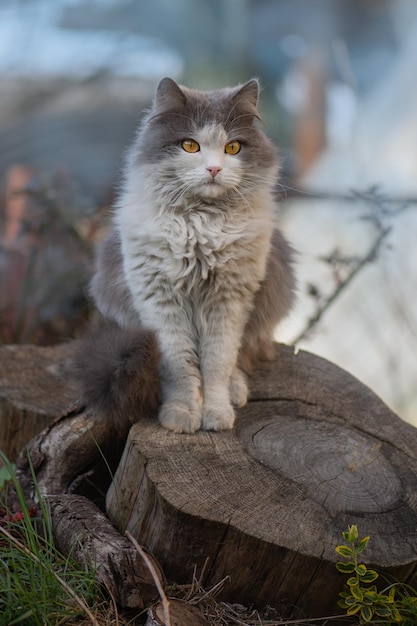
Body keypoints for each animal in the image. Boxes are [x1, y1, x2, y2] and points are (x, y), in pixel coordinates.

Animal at [75, 77, 296, 434]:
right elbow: (180, 365)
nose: (214, 169)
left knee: (241, 357)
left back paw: (236, 390)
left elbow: (217, 364)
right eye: (190, 146)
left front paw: (216, 413)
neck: (200, 223)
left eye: (233, 148)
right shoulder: (161, 301)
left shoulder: (228, 301)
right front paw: (181, 414)